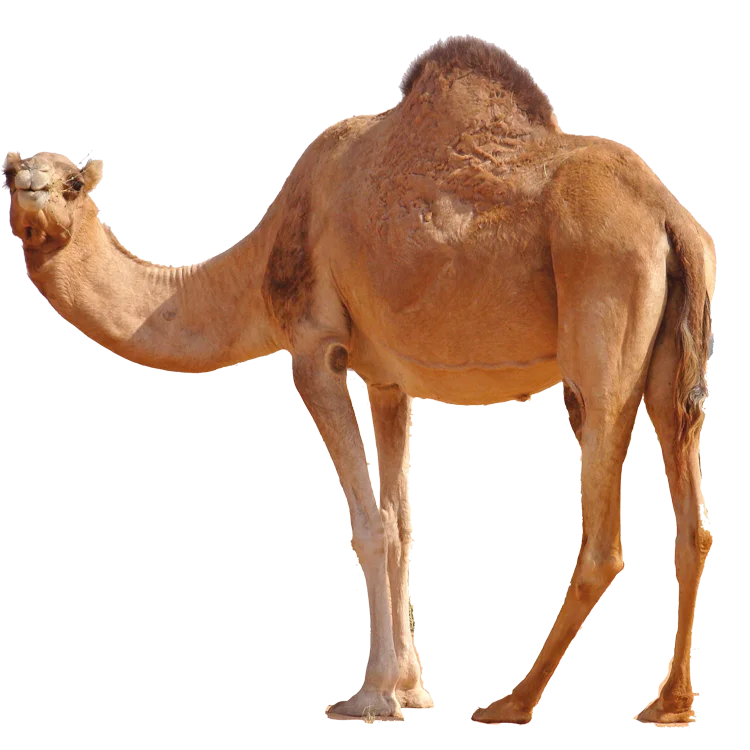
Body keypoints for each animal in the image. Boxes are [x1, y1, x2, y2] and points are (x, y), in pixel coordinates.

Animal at [3, 36, 716, 727]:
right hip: (670, 354)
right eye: (11, 173)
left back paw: (510, 704)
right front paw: (411, 687)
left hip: (602, 306)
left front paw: (372, 695)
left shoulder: (314, 348)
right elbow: (400, 523)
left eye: (72, 183)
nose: (33, 196)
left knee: (603, 533)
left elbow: (369, 522)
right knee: (691, 515)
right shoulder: (387, 381)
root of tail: (669, 216)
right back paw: (669, 704)